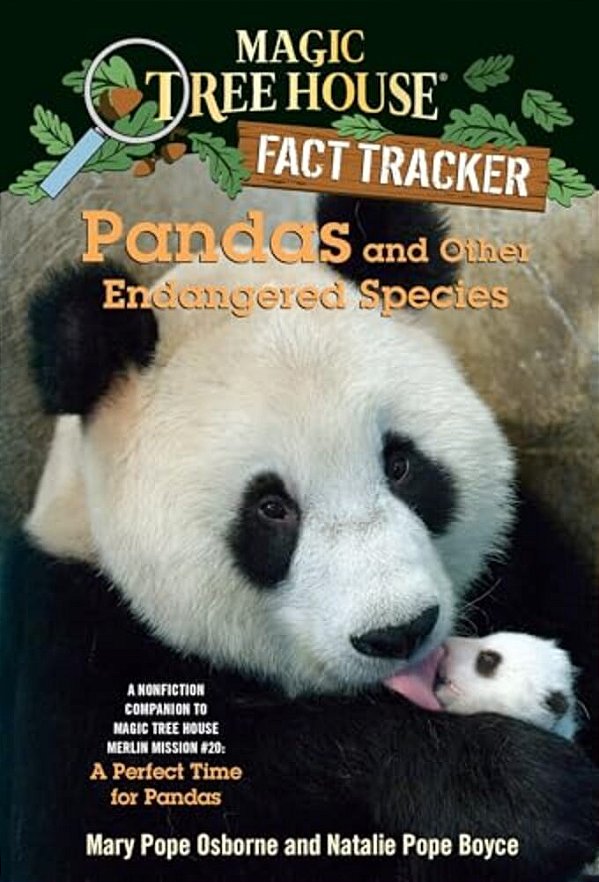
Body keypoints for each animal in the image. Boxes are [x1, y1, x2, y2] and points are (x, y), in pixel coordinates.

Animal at [1, 195, 597, 882]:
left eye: (400, 464)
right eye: (271, 508)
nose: (399, 632)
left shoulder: (528, 560)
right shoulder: (74, 642)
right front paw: (515, 790)